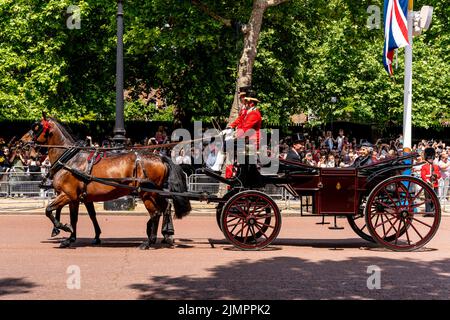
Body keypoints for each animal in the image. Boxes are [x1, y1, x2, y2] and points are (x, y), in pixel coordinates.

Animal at [19, 114, 190, 249]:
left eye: (36, 127)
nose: (21, 142)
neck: (70, 159)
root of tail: (160, 157)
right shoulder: (77, 198)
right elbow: (78, 217)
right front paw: (72, 238)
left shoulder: (67, 195)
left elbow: (49, 210)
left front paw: (64, 228)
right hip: (155, 193)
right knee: (166, 207)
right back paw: (166, 235)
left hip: (147, 194)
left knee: (156, 213)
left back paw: (149, 241)